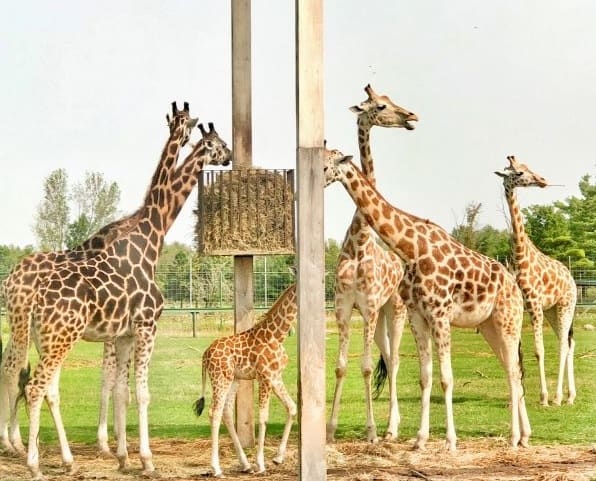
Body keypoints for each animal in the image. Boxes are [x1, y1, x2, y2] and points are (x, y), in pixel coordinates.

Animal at [193, 284, 298, 478]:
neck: (277, 335)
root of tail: (205, 355)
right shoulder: (265, 377)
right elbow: (263, 418)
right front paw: (261, 464)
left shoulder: (275, 377)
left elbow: (292, 407)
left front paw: (278, 458)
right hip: (220, 378)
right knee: (214, 412)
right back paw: (216, 469)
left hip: (234, 379)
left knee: (226, 411)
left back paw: (245, 464)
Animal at [324, 154, 532, 450]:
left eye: (328, 164)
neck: (412, 250)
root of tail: (514, 285)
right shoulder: (417, 316)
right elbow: (425, 377)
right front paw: (420, 439)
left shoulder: (440, 315)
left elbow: (446, 378)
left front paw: (450, 441)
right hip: (490, 327)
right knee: (511, 368)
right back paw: (524, 435)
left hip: (508, 321)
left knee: (514, 372)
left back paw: (514, 437)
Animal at [326, 83, 420, 442]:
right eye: (380, 106)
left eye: (388, 102)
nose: (411, 117)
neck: (359, 241)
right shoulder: (344, 308)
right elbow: (341, 366)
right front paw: (329, 429)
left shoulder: (366, 308)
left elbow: (365, 367)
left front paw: (371, 431)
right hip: (379, 319)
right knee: (388, 357)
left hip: (395, 310)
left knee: (394, 360)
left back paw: (391, 426)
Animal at [496, 155, 576, 404]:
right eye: (519, 173)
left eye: (527, 167)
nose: (542, 180)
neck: (520, 257)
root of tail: (572, 279)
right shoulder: (522, 306)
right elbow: (518, 351)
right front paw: (516, 397)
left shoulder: (534, 304)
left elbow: (539, 351)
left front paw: (543, 397)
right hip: (552, 310)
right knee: (568, 342)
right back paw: (571, 396)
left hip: (565, 306)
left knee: (563, 345)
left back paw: (558, 397)